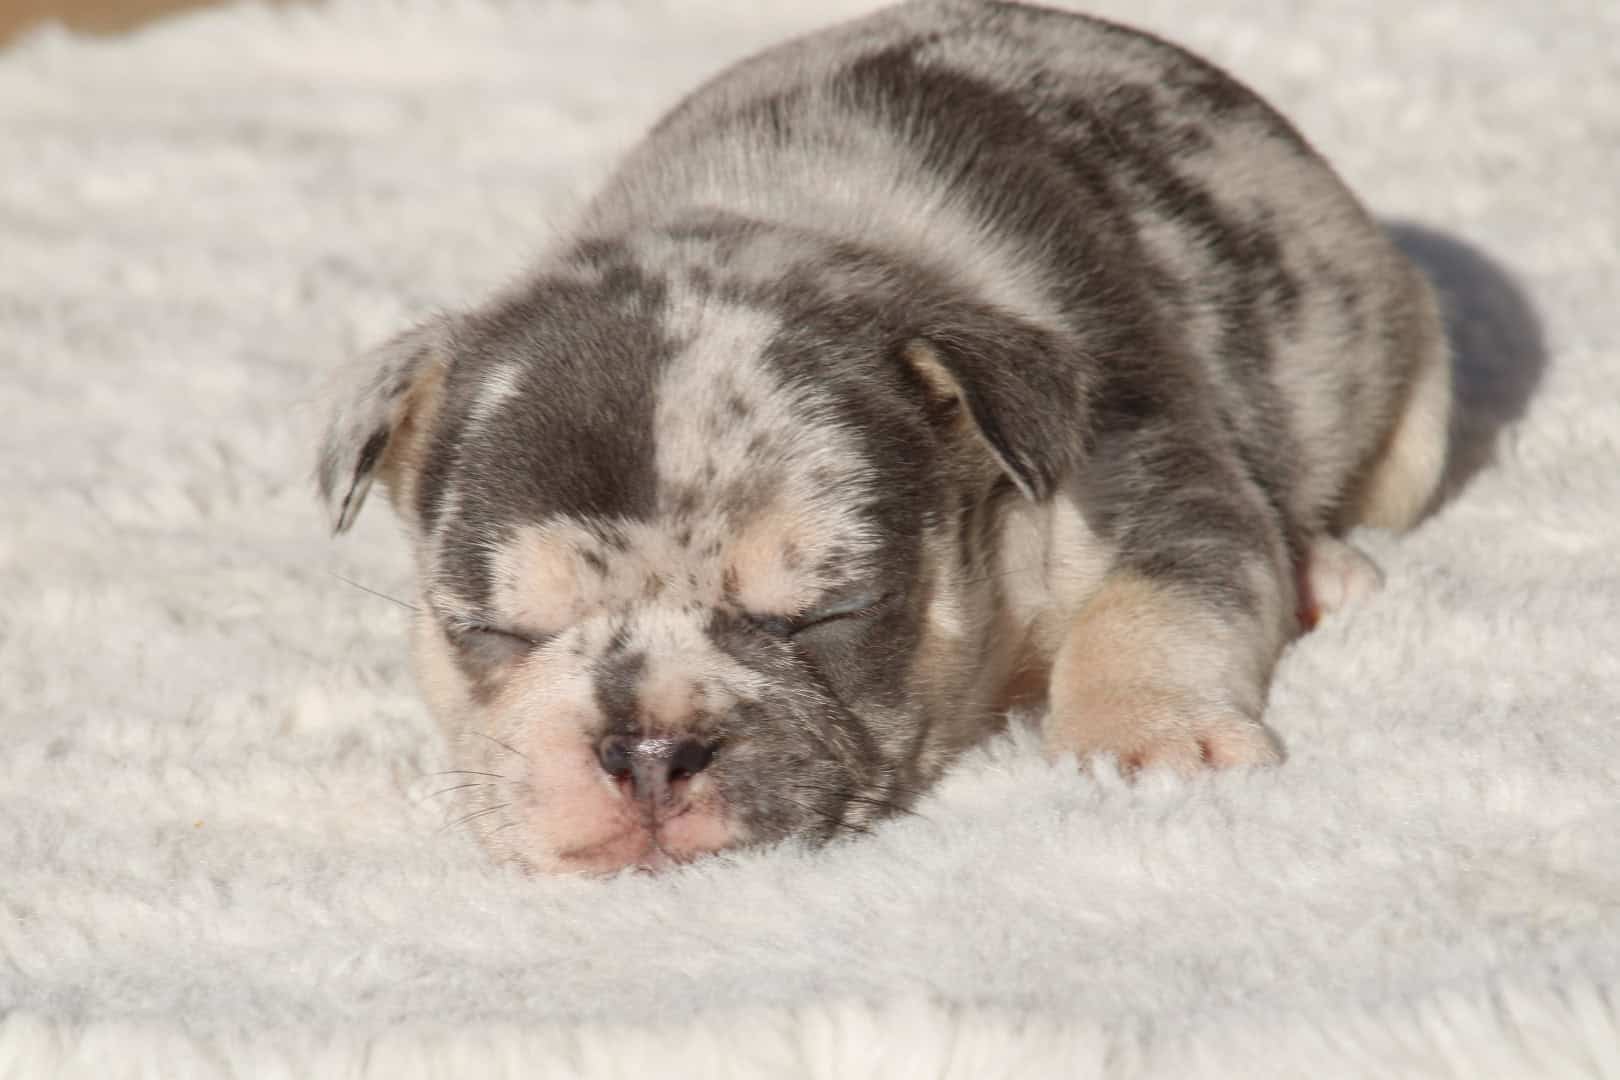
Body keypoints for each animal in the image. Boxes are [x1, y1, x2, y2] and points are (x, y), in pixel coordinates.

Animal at [312, 0, 1445, 874]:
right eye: (493, 631)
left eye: (826, 614)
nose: (649, 748)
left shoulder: (1143, 466)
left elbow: (1154, 603)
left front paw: (1148, 745)